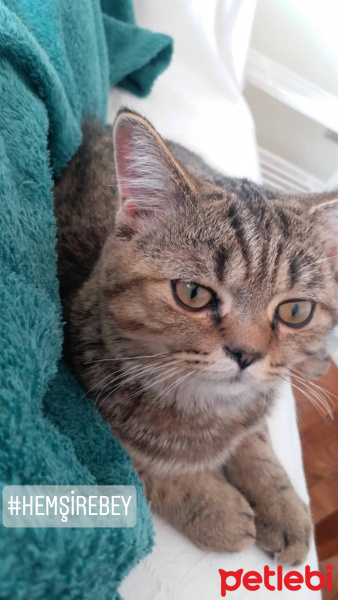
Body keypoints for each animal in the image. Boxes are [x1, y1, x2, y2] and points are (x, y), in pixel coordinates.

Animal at [54, 109, 336, 568]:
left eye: (295, 311)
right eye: (192, 293)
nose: (247, 354)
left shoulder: (255, 404)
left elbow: (256, 438)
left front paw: (282, 503)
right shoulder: (84, 405)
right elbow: (140, 471)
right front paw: (213, 508)